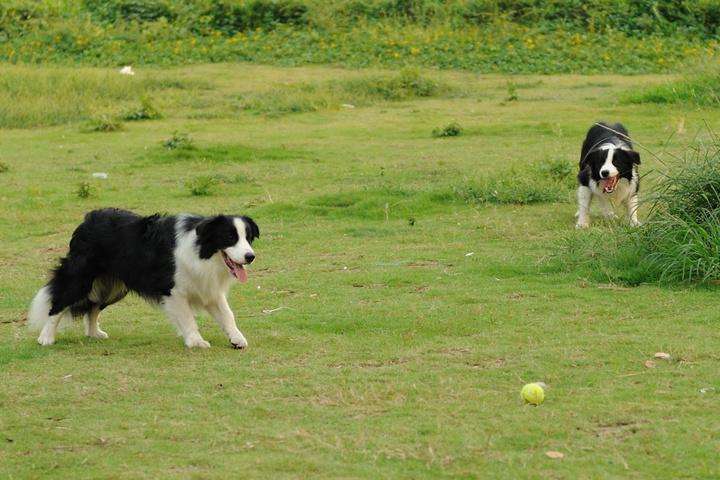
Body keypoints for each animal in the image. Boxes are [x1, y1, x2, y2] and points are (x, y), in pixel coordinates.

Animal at [28, 209, 258, 348]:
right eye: (230, 237)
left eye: (248, 238)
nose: (250, 256)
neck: (202, 251)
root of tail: (87, 220)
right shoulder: (173, 291)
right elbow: (188, 318)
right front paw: (195, 341)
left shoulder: (208, 288)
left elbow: (227, 315)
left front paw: (237, 338)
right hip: (81, 278)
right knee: (58, 303)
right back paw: (46, 337)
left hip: (113, 287)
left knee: (93, 308)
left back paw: (94, 333)